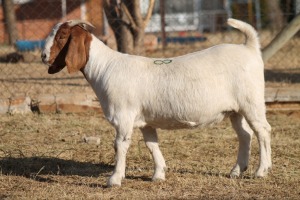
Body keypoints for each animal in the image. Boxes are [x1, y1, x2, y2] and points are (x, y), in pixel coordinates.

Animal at [41, 18, 272, 187]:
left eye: (62, 36)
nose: (43, 56)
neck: (105, 67)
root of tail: (249, 47)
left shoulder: (124, 117)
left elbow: (120, 145)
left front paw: (114, 179)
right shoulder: (146, 120)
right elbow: (152, 145)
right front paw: (158, 174)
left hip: (252, 102)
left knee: (263, 131)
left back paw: (261, 171)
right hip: (236, 110)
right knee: (245, 135)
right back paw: (236, 171)